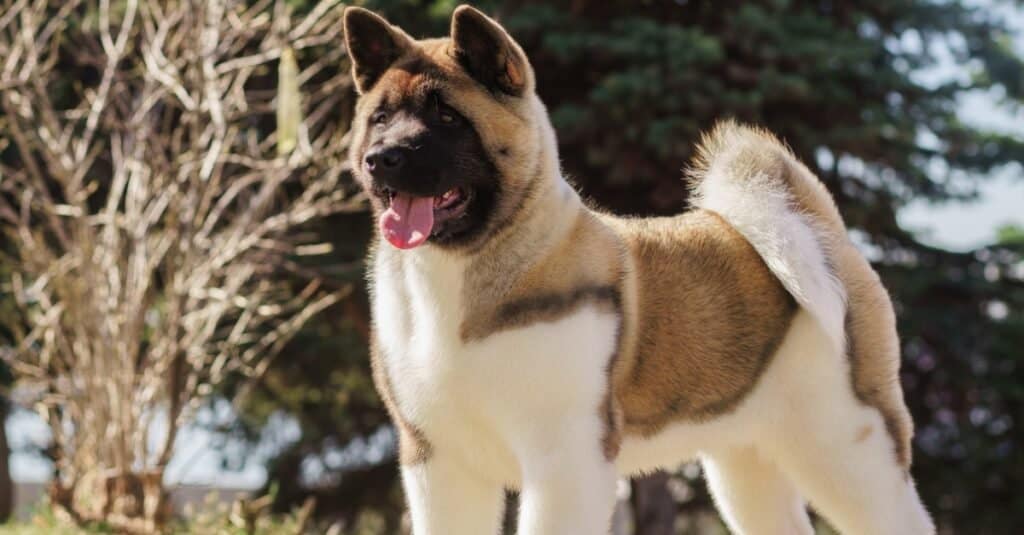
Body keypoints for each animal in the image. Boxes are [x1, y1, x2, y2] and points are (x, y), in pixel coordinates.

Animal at [342, 5, 937, 532]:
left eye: (447, 117)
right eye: (380, 119)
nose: (382, 158)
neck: (464, 271)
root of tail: (821, 228)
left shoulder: (565, 460)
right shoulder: (439, 466)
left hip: (848, 446)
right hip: (744, 462)